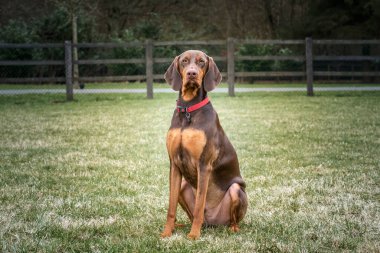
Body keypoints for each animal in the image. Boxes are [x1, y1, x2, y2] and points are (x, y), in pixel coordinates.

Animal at [160, 50, 246, 240]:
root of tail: (213, 223)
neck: (188, 110)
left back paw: (232, 228)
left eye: (201, 62)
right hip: (184, 185)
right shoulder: (174, 164)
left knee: (232, 219)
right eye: (184, 61)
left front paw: (193, 235)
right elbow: (171, 207)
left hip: (236, 190)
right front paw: (167, 232)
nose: (192, 73)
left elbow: (200, 204)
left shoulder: (204, 164)